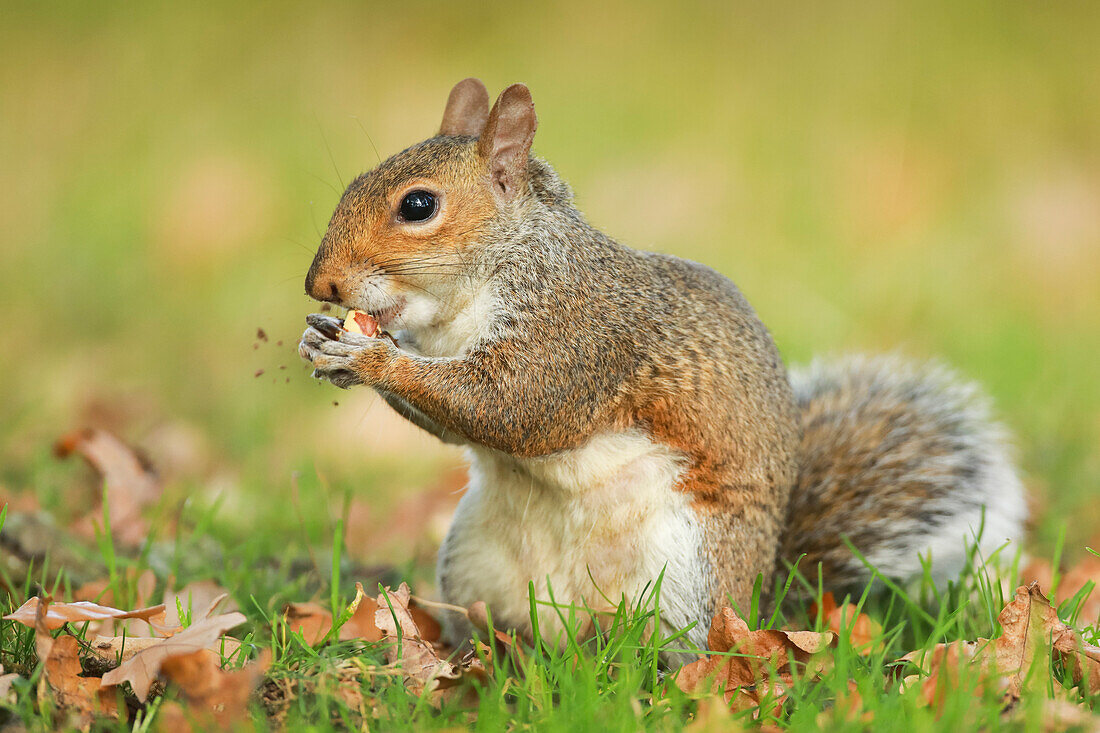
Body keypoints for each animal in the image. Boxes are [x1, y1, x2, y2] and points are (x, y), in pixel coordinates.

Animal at [297, 78, 1025, 651]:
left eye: (418, 205)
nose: (319, 284)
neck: (465, 299)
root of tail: (762, 598)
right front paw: (325, 343)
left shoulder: (579, 334)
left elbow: (516, 405)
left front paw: (371, 356)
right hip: (475, 564)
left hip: (686, 579)